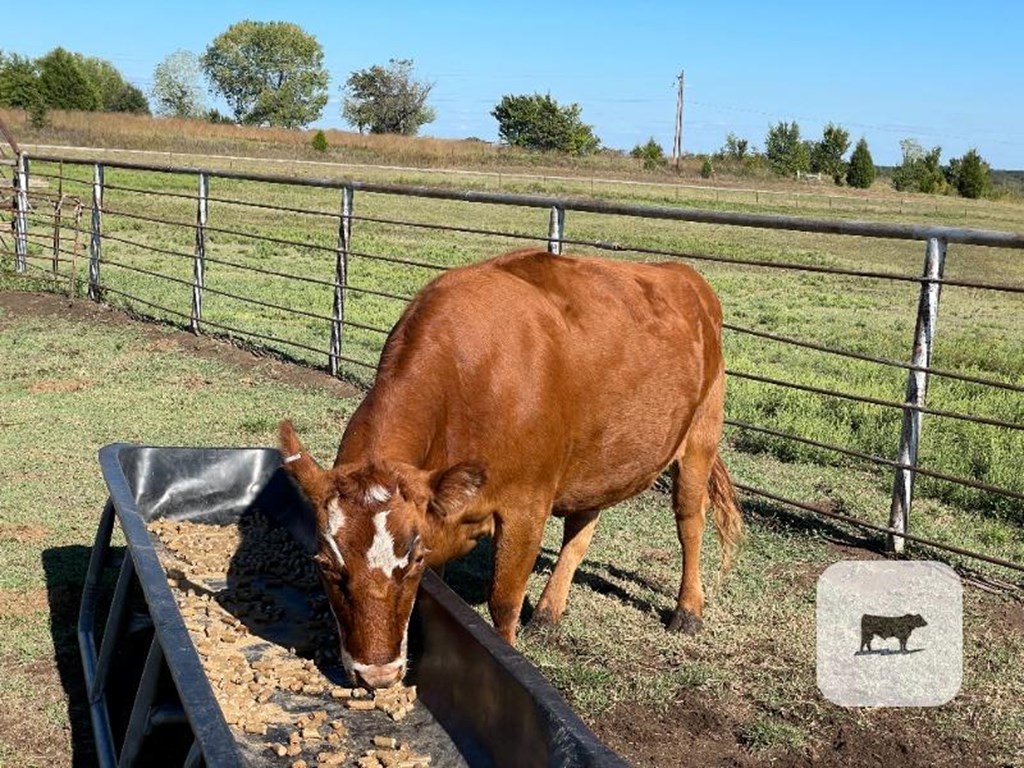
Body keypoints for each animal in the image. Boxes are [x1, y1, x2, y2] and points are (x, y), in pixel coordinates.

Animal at [282, 249, 745, 688]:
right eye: (325, 564)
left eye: (411, 562)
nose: (375, 674)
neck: (468, 382)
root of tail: (682, 273)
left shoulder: (526, 506)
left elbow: (503, 602)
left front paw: (508, 656)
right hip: (596, 456)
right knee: (582, 527)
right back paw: (548, 611)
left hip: (701, 434)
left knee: (690, 521)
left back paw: (688, 610)